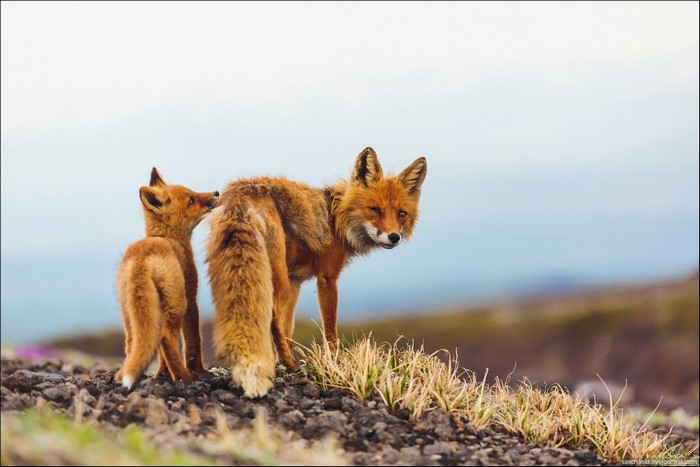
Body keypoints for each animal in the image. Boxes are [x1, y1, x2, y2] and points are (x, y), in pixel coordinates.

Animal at [114, 168, 219, 389]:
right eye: (191, 199)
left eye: (193, 192)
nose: (216, 192)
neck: (168, 237)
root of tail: (141, 260)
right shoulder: (191, 297)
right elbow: (193, 340)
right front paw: (199, 370)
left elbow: (160, 355)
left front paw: (162, 373)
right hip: (176, 304)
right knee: (166, 339)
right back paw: (185, 377)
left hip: (129, 312)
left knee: (133, 343)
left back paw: (124, 374)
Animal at [207, 147, 427, 397]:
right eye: (375, 210)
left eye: (401, 214)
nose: (394, 237)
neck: (336, 219)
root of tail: (239, 191)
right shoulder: (327, 278)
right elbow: (330, 331)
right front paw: (333, 364)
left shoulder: (296, 280)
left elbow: (289, 328)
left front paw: (281, 363)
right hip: (277, 280)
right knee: (272, 315)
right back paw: (290, 364)